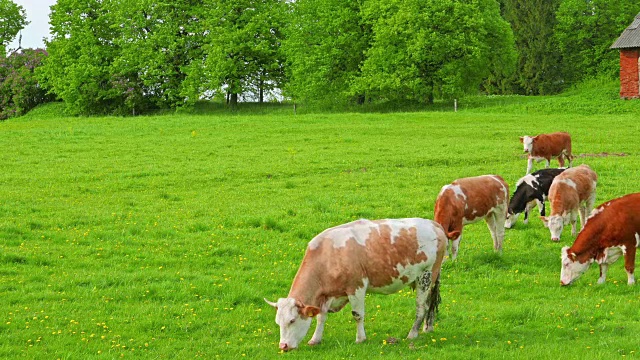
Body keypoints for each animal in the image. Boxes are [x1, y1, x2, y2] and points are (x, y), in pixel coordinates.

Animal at [262, 218, 448, 350]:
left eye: (292, 320)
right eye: (278, 322)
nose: (283, 346)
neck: (327, 254)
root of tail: (434, 224)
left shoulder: (356, 287)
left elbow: (357, 315)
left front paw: (360, 338)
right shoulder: (328, 293)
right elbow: (321, 316)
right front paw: (315, 339)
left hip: (425, 275)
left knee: (421, 307)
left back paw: (413, 333)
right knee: (430, 303)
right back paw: (428, 327)